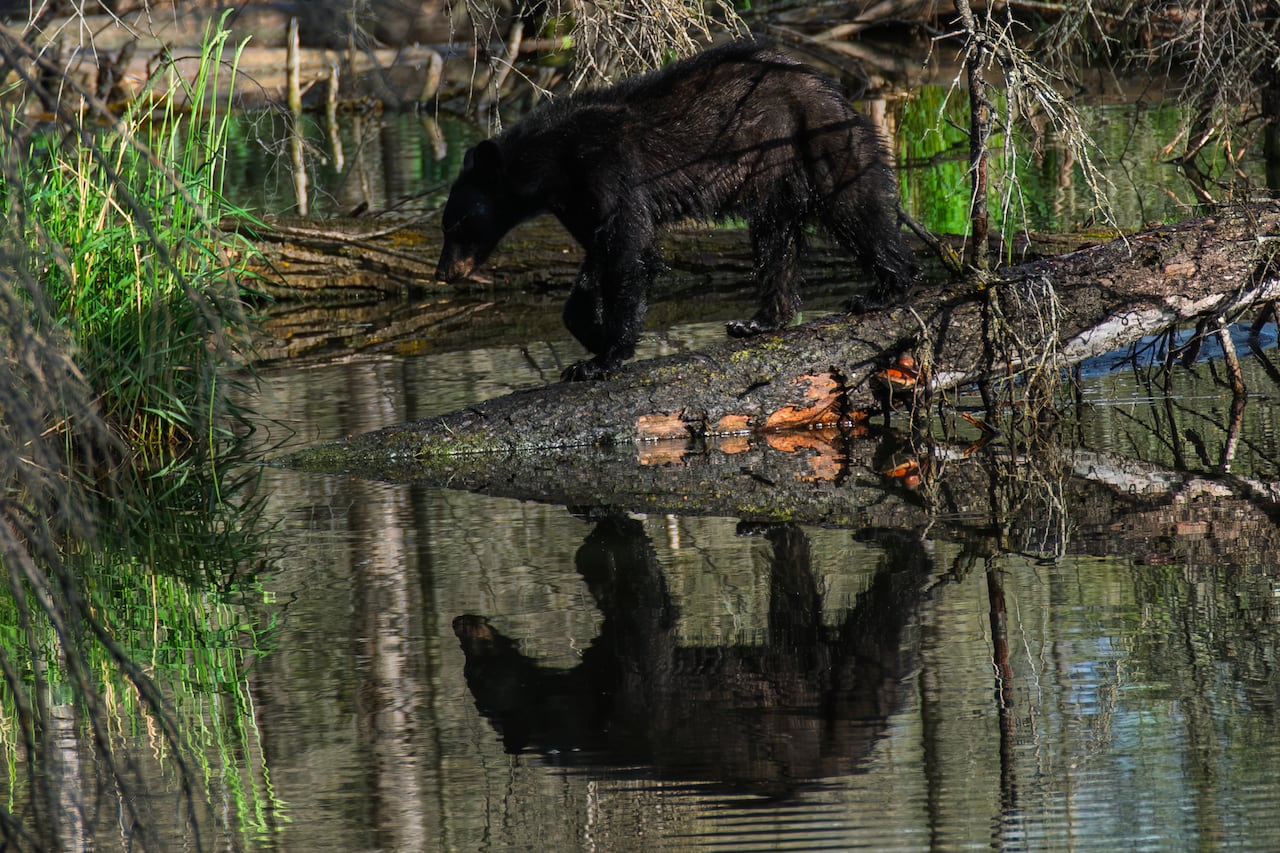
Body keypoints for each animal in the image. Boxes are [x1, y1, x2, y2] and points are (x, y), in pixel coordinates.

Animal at [435, 39, 919, 381]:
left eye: (457, 223)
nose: (443, 272)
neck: (552, 161)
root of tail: (833, 89)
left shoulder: (607, 169)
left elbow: (627, 253)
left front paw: (605, 357)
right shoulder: (575, 201)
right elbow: (600, 256)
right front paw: (591, 334)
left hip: (819, 138)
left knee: (856, 210)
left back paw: (885, 288)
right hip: (777, 178)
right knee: (775, 239)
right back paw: (762, 321)